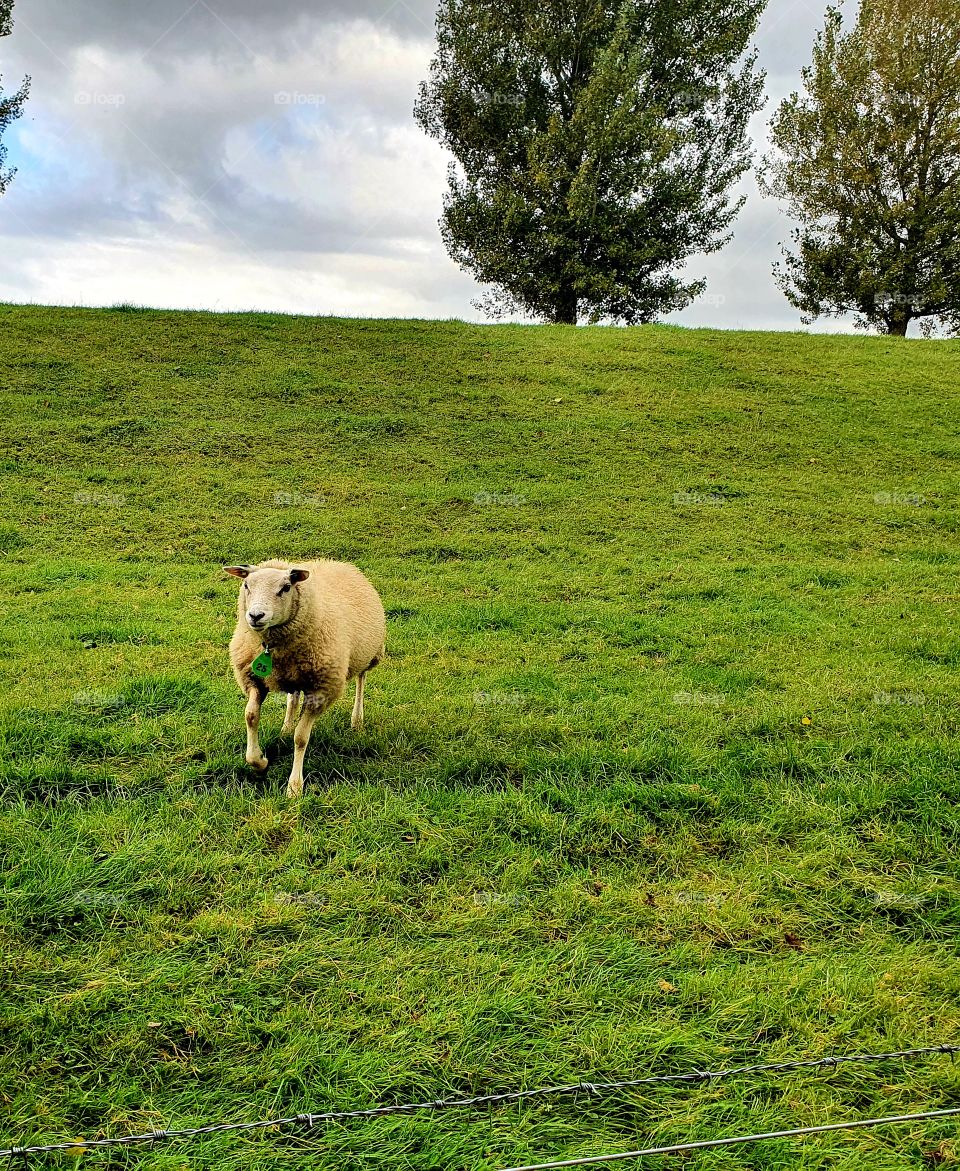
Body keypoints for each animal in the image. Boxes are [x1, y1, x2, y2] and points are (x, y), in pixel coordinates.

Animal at [224, 558, 386, 798]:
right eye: (246, 585)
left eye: (285, 588)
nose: (255, 616)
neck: (272, 648)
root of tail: (336, 562)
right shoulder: (253, 679)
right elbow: (251, 716)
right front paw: (260, 762)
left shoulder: (321, 690)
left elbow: (301, 738)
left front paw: (294, 787)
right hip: (296, 675)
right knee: (293, 696)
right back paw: (286, 726)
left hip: (367, 653)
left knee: (361, 680)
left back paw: (357, 720)